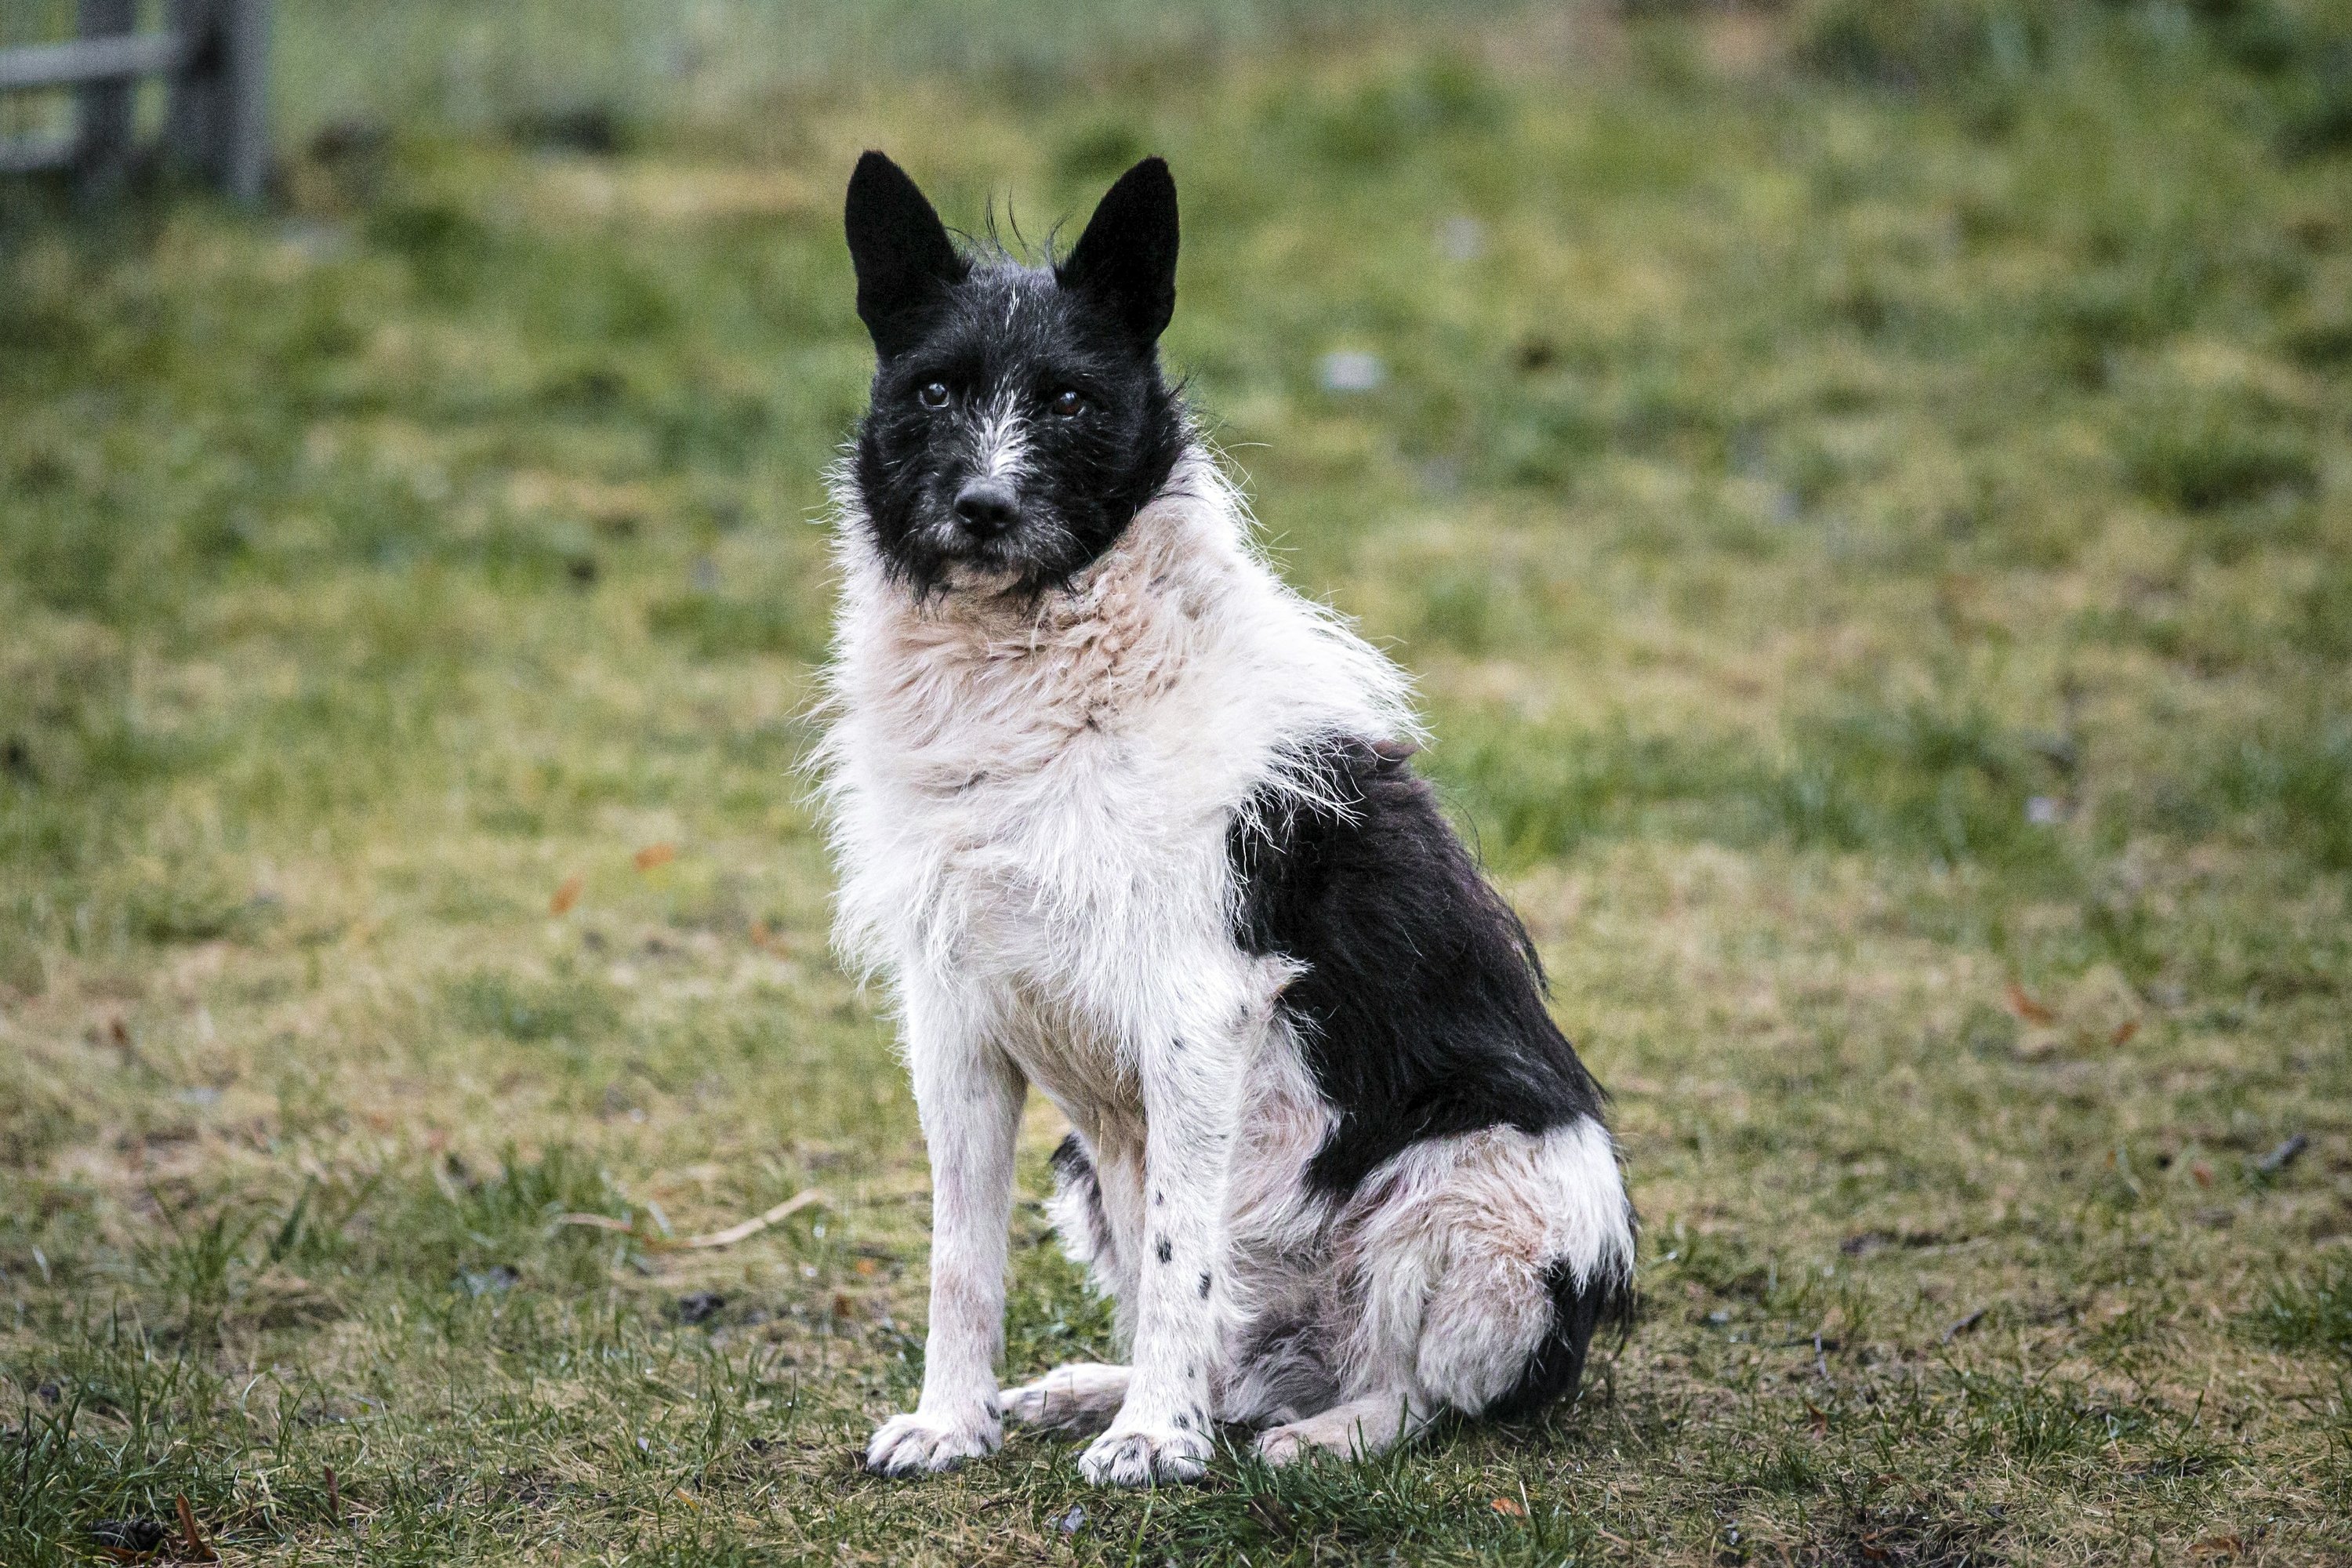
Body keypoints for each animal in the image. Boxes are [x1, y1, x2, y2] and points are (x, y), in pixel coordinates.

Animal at [818, 152, 1628, 1495]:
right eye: (934, 389)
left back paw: (1321, 1434)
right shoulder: (955, 1025)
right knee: (1241, 1359)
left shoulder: (1198, 1016)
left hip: (1473, 1191)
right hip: (1091, 1175)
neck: (1037, 672)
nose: (983, 507)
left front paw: (1156, 1439)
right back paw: (1099, 1392)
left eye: (1071, 400)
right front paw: (953, 1421)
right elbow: (959, 1257)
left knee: (1428, 1392)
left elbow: (1180, 1256)